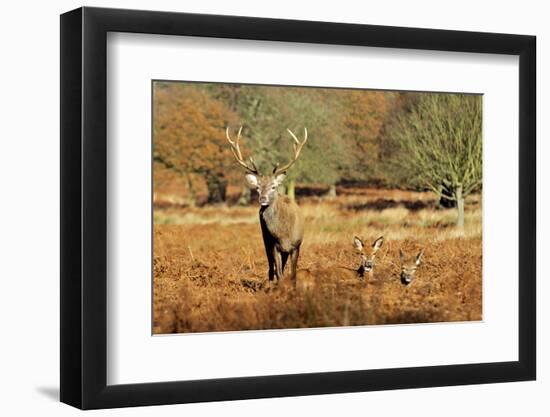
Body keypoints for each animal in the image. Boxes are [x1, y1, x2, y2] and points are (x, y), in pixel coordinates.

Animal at [226, 125, 308, 284]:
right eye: (257, 187)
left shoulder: (296, 245)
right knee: (271, 268)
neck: (283, 233)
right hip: (265, 239)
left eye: (273, 187)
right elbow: (279, 273)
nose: (262, 198)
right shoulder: (274, 245)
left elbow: (293, 275)